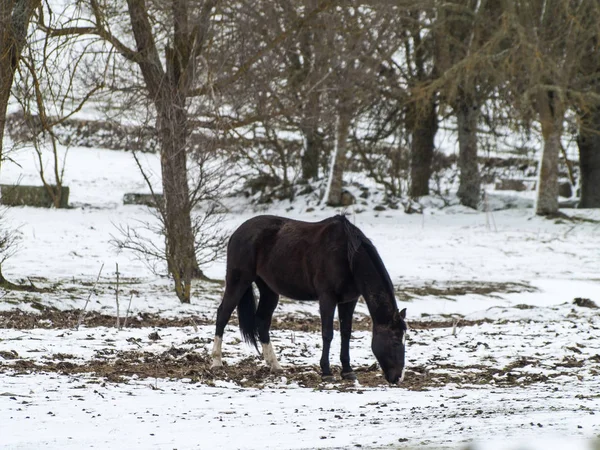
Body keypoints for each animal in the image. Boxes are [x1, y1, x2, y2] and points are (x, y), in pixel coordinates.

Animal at [211, 214, 408, 384]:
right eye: (396, 339)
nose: (398, 377)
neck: (346, 255)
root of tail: (237, 232)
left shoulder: (348, 301)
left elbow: (346, 333)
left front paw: (347, 371)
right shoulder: (327, 298)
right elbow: (328, 333)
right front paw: (327, 372)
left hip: (269, 289)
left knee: (262, 321)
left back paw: (275, 365)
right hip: (239, 281)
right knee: (223, 314)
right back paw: (216, 362)